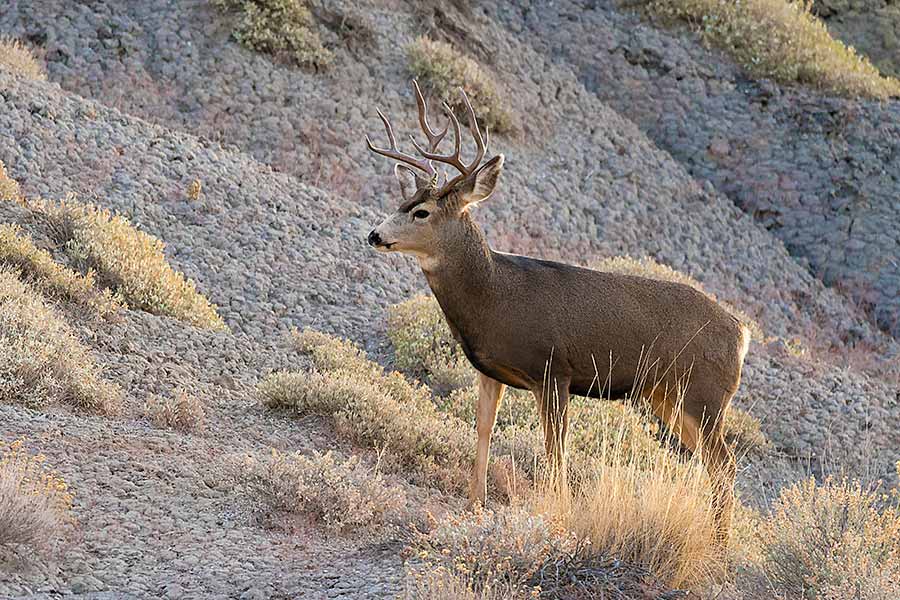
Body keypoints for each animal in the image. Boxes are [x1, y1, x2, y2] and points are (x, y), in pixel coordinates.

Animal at [362, 81, 748, 544]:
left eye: (421, 212)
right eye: (401, 202)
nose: (374, 234)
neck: (495, 296)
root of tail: (741, 334)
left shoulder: (554, 369)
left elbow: (554, 446)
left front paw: (558, 513)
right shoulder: (490, 371)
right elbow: (483, 429)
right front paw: (475, 506)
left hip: (705, 394)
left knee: (724, 463)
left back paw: (721, 544)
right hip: (667, 396)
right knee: (713, 462)